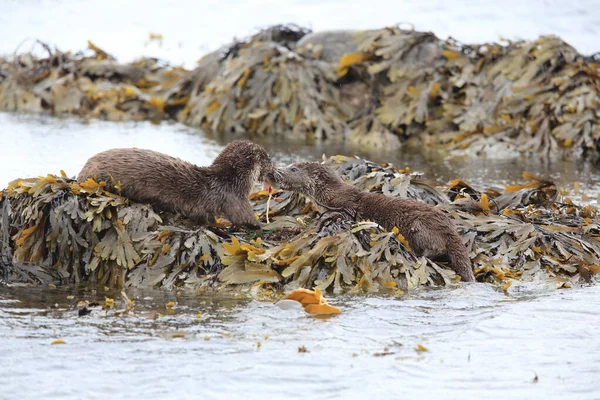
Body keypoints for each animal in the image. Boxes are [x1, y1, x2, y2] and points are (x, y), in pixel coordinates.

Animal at [78, 141, 274, 228]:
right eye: (268, 159)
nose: (274, 168)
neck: (229, 181)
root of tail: (83, 170)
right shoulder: (235, 199)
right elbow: (244, 218)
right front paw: (261, 224)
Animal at [266, 162, 474, 282]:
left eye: (293, 169)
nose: (275, 171)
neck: (329, 196)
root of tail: (449, 228)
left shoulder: (347, 206)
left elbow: (340, 215)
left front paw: (322, 220)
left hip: (420, 225)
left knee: (436, 247)